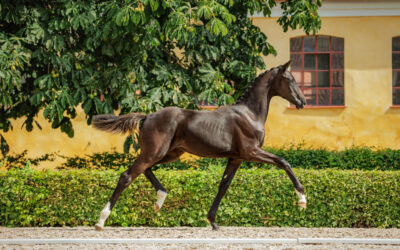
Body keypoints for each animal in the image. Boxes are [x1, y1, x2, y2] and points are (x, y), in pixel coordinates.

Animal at [93, 60, 306, 230]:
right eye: (290, 79)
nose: (302, 101)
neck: (250, 114)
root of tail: (147, 116)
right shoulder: (251, 151)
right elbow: (283, 161)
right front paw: (302, 199)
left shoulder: (236, 158)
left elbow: (223, 185)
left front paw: (213, 222)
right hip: (155, 153)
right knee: (127, 176)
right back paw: (101, 221)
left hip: (168, 154)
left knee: (145, 170)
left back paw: (159, 200)